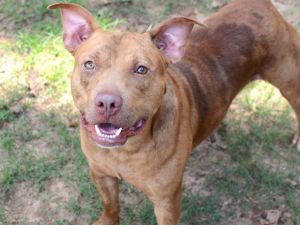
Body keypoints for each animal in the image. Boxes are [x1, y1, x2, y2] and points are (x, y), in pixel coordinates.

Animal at [48, 0, 298, 224]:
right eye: (89, 64)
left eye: (141, 69)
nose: (108, 102)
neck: (126, 151)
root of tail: (262, 4)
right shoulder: (101, 175)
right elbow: (111, 206)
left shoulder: (167, 201)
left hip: (289, 82)